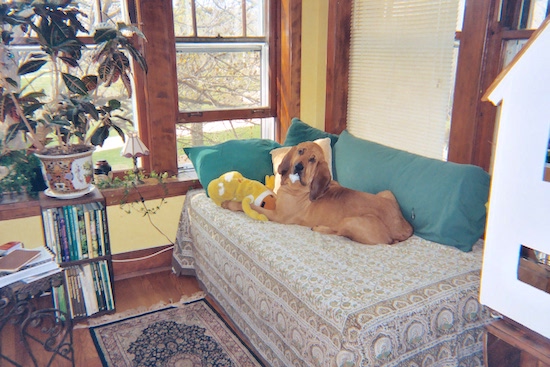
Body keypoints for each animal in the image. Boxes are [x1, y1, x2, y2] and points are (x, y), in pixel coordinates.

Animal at [250, 142, 414, 246]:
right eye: (300, 151)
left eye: (313, 159)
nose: (298, 166)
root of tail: (403, 228)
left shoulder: (279, 216)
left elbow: (256, 208)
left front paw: (246, 203)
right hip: (386, 193)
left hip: (350, 221)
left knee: (339, 232)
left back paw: (319, 228)